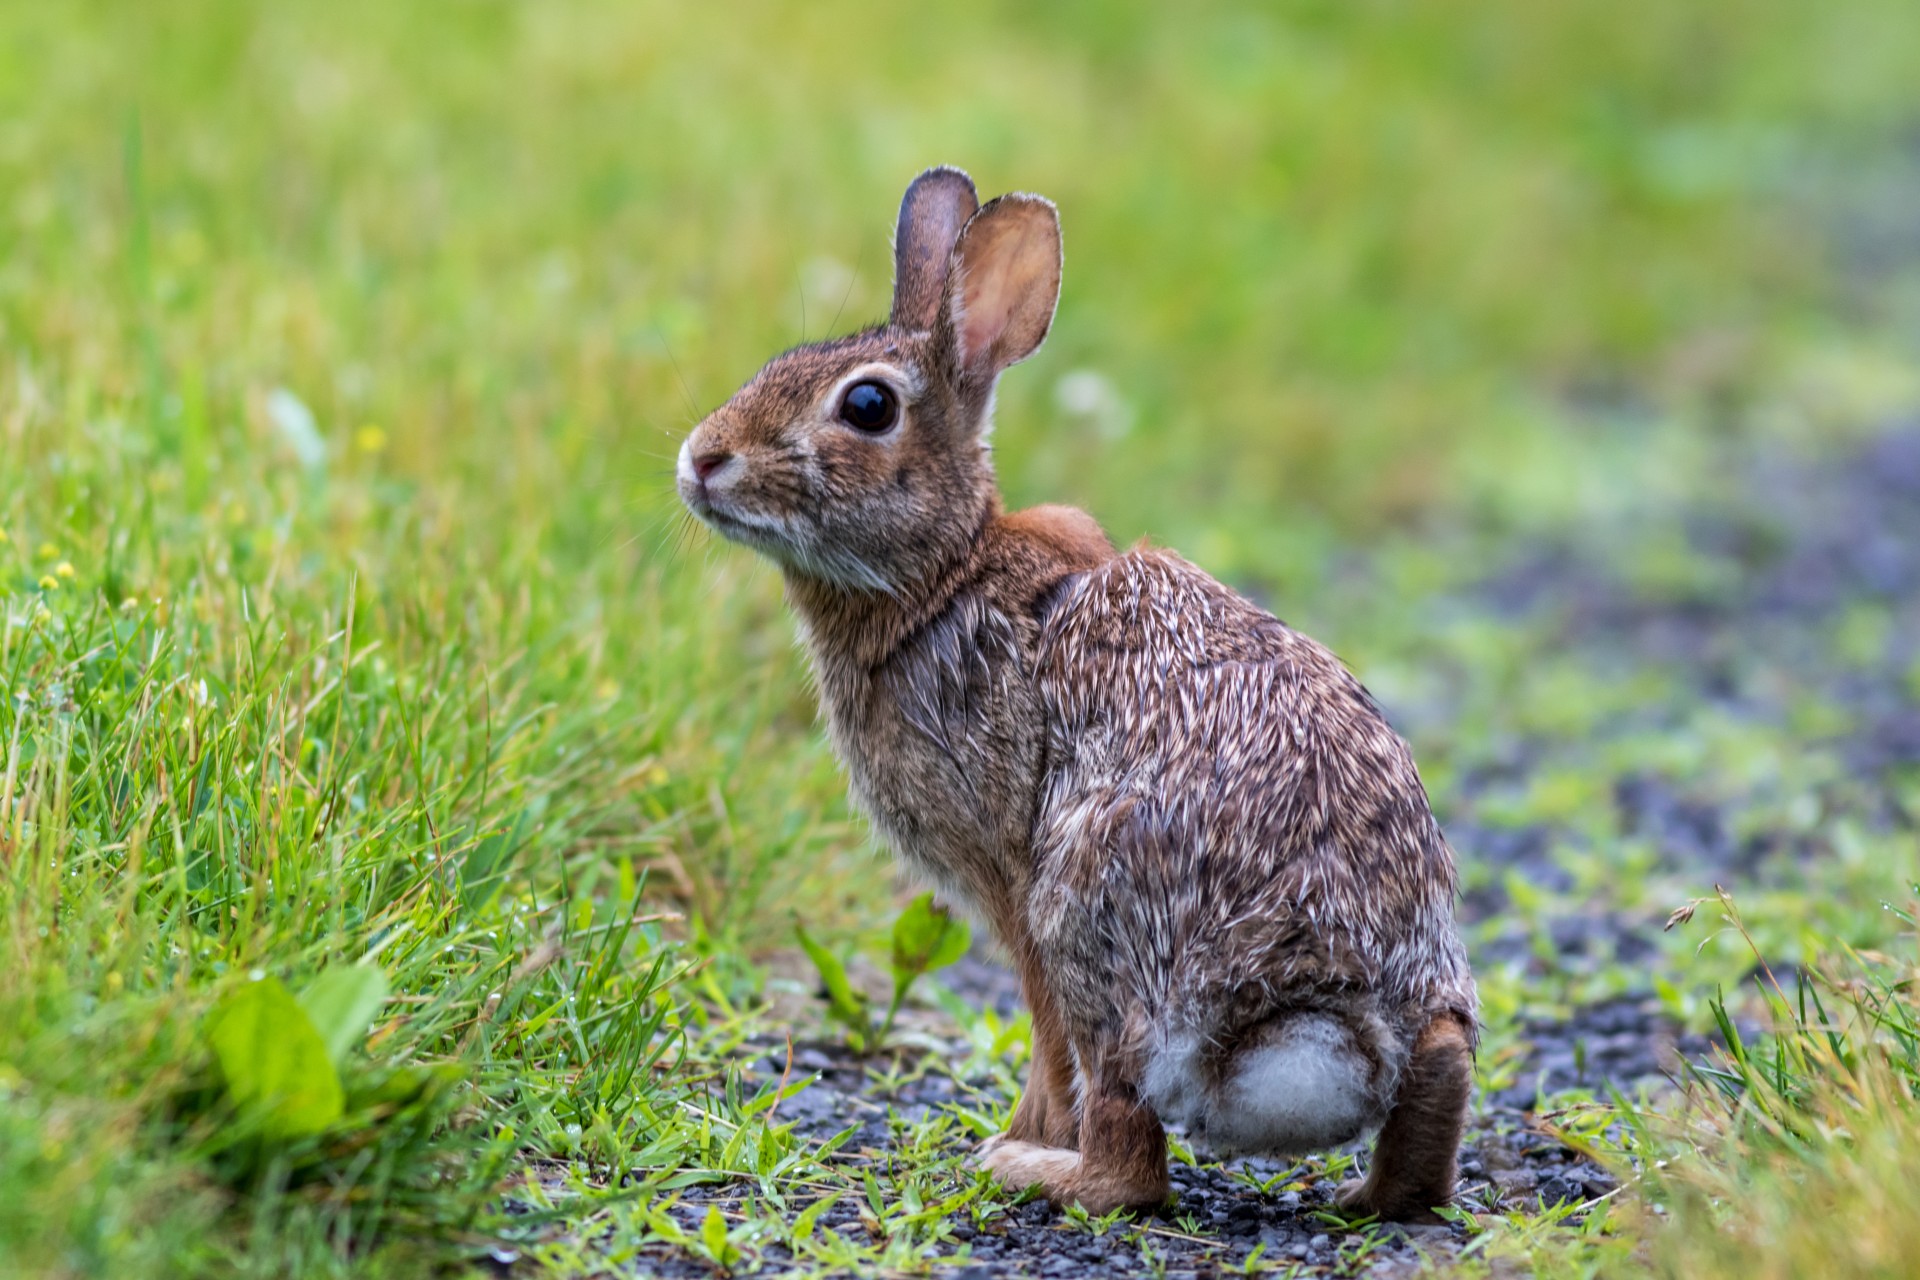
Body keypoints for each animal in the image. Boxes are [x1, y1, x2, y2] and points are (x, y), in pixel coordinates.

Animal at [683, 167, 1474, 1220]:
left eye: (867, 405)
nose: (701, 458)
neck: (940, 578)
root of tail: (1330, 1012)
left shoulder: (1012, 883)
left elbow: (1042, 1032)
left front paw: (1023, 1131)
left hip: (1092, 905)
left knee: (1129, 1158)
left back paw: (1031, 1169)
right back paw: (1369, 1197)